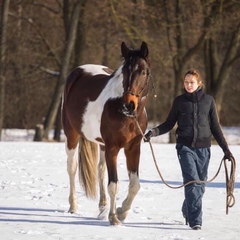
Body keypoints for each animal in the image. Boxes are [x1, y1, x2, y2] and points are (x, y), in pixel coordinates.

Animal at [62, 40, 152, 225]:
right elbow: (114, 185)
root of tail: (77, 71)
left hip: (101, 144)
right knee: (72, 168)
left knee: (101, 170)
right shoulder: (113, 148)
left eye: (143, 72)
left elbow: (135, 185)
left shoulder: (133, 148)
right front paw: (114, 217)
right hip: (71, 135)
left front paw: (122, 211)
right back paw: (73, 206)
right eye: (124, 71)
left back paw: (102, 206)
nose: (129, 104)